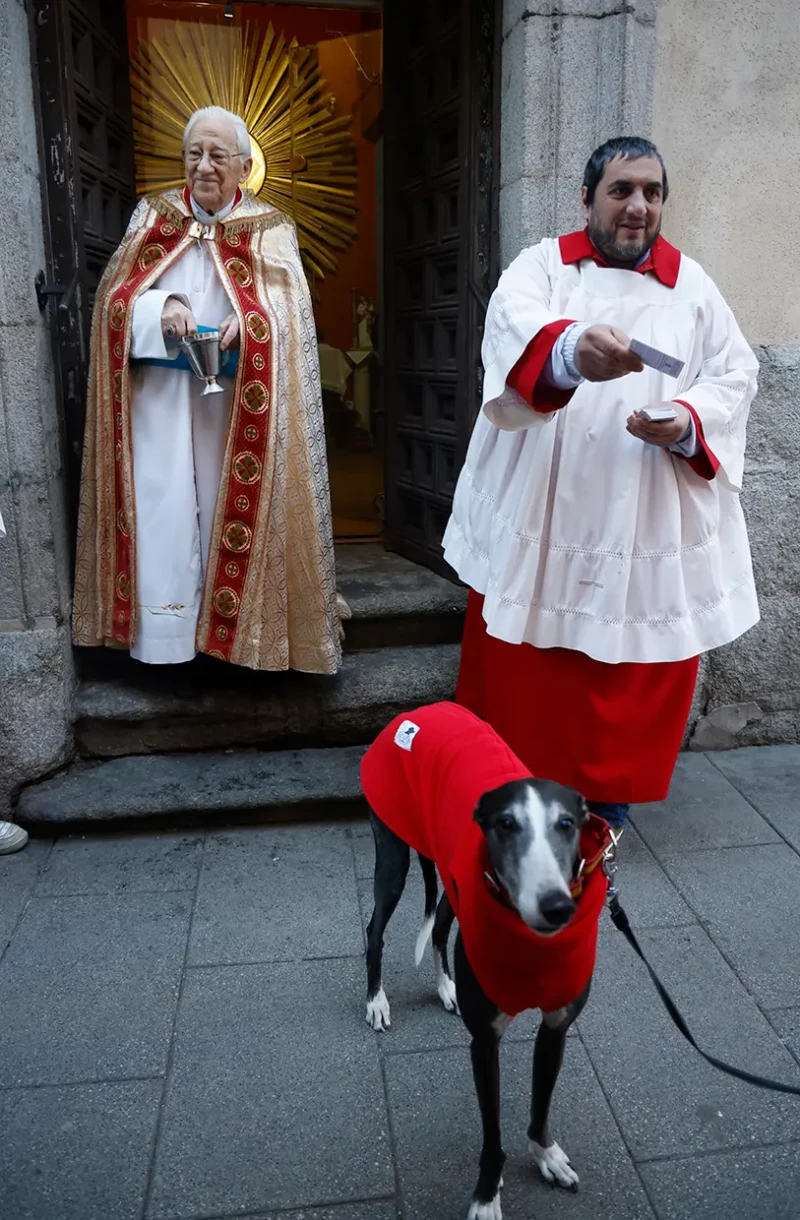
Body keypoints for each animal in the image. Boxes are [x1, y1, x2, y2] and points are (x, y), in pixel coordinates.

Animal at [358, 707, 609, 1220]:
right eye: (506, 825)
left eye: (568, 824)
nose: (556, 908)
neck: (530, 944)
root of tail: (417, 713)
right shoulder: (484, 1042)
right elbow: (492, 1135)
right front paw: (487, 1196)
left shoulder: (556, 1027)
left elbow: (541, 1102)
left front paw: (546, 1155)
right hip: (391, 848)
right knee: (374, 930)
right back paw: (376, 1000)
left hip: (451, 879)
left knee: (438, 925)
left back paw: (446, 987)